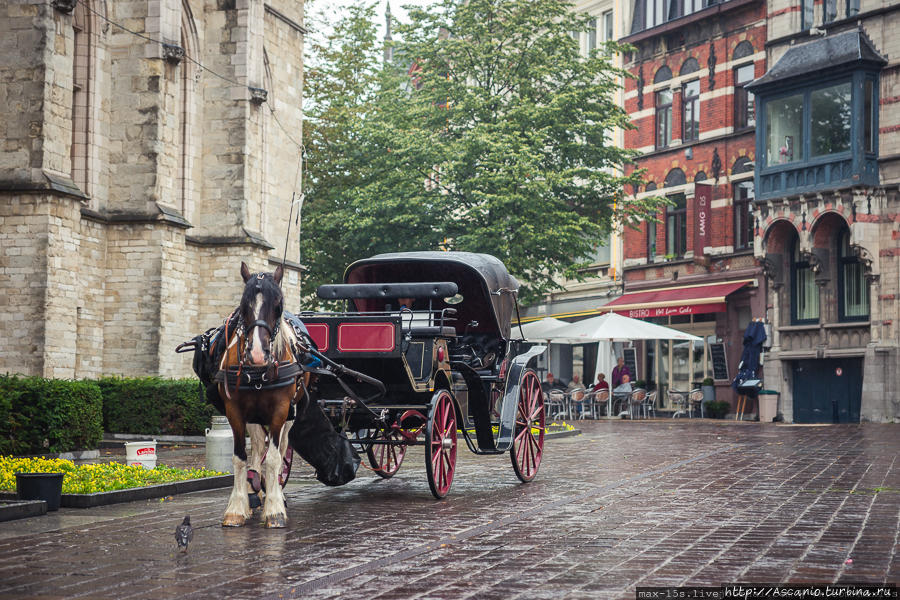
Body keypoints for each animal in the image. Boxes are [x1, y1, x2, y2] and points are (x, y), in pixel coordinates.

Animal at [216, 260, 304, 528]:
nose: (256, 354)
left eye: (278, 306)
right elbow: (240, 458)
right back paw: (254, 490)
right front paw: (236, 508)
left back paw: (275, 494)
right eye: (244, 306)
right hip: (254, 416)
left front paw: (274, 510)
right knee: (256, 446)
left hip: (290, 416)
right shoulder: (234, 411)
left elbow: (275, 458)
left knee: (281, 450)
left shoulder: (280, 410)